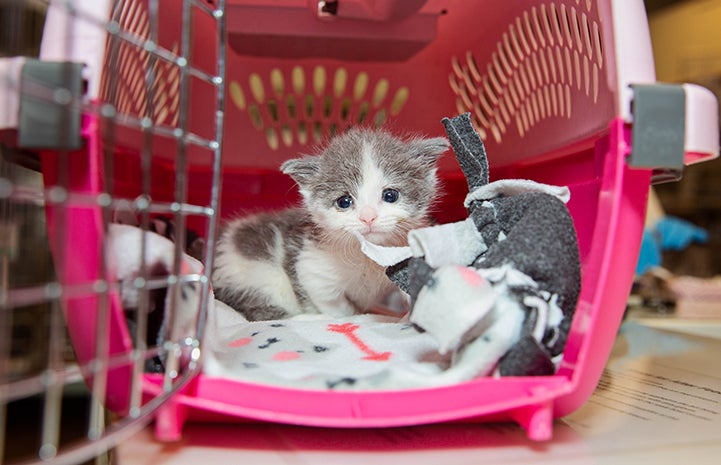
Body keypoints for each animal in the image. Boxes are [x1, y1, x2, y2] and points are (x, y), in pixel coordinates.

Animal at [208, 127, 448, 320]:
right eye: (344, 201)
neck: (367, 255)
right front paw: (353, 316)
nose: (368, 217)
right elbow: (336, 305)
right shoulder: (312, 268)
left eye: (390, 195)